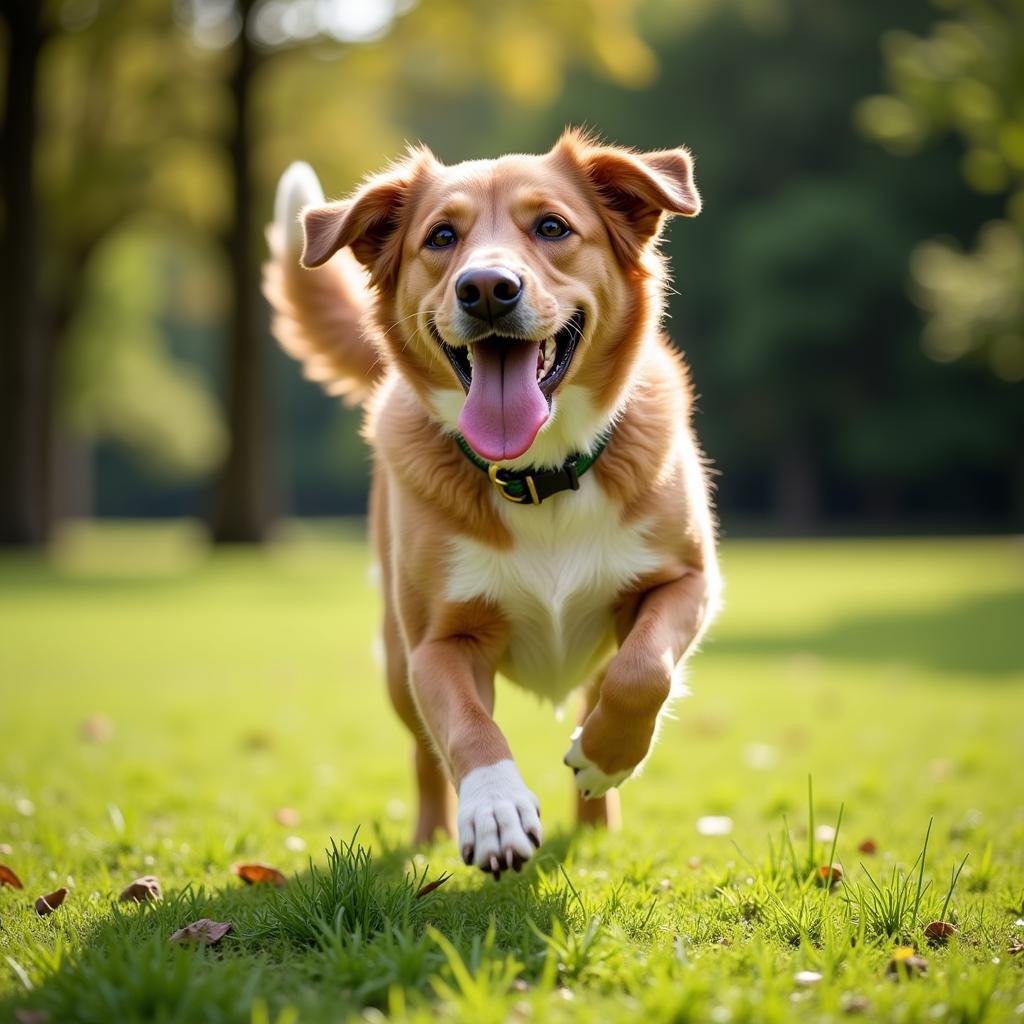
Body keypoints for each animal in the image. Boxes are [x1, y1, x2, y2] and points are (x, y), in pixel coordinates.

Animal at [264, 130, 720, 880]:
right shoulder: (437, 643)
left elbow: (642, 671)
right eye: (442, 237)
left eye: (553, 227)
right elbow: (468, 729)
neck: (539, 474)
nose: (485, 289)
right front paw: (495, 808)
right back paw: (429, 833)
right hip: (396, 665)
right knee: (425, 753)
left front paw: (603, 758)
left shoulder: (687, 581)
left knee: (603, 686)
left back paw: (595, 817)